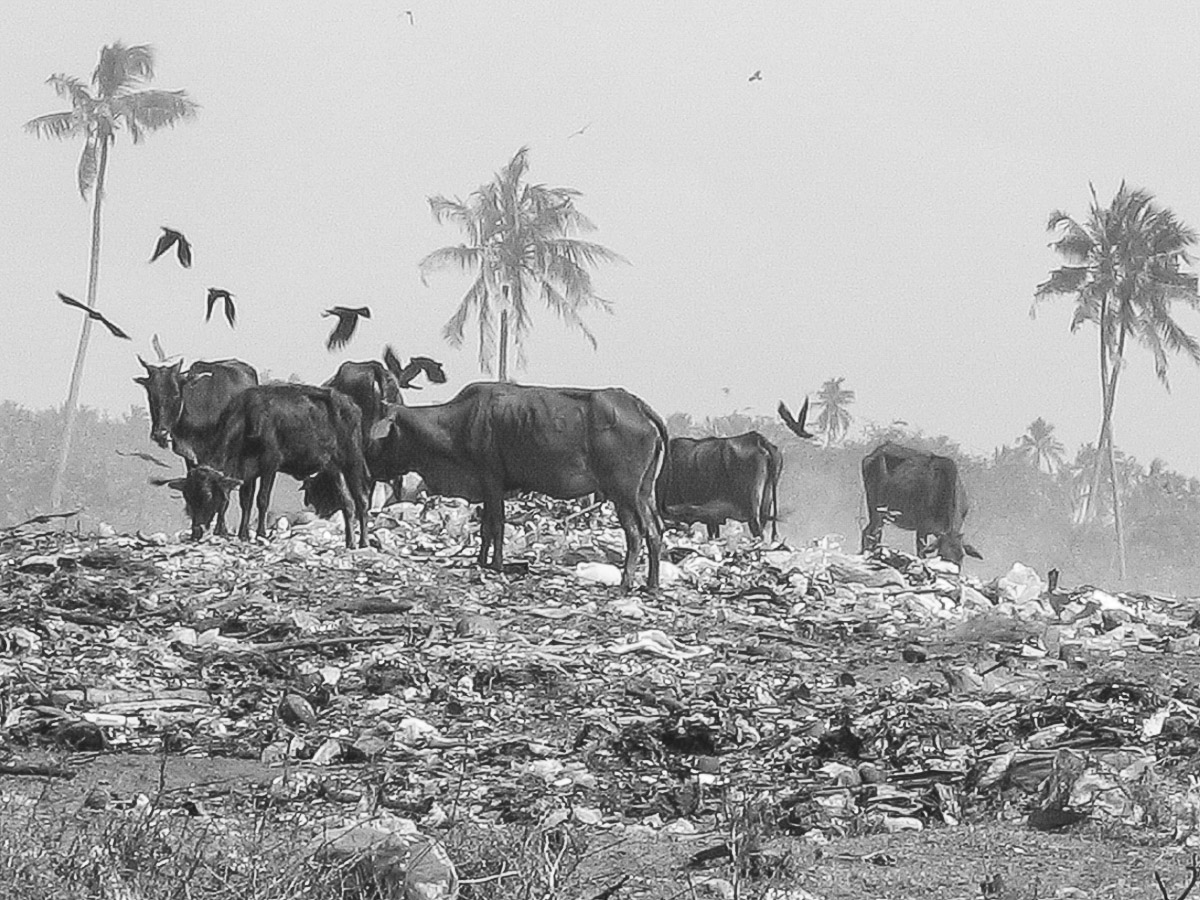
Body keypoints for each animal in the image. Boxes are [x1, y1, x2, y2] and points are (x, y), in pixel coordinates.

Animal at [135, 355, 258, 535]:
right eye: (151, 395)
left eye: (176, 394)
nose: (160, 433)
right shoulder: (189, 455)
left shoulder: (230, 459)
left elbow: (226, 493)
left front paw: (220, 529)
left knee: (246, 497)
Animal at [157, 381, 369, 549]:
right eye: (188, 497)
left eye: (208, 495)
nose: (196, 531)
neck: (246, 419)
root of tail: (351, 404)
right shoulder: (246, 471)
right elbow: (246, 501)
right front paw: (243, 534)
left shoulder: (270, 463)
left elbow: (262, 499)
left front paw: (260, 534)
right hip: (333, 468)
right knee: (347, 503)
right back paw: (350, 542)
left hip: (353, 461)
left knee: (361, 501)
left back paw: (363, 542)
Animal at [362, 381, 667, 592]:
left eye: (379, 435)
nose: (367, 467)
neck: (457, 423)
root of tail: (637, 405)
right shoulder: (487, 486)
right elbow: (486, 527)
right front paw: (481, 561)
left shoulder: (491, 479)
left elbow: (496, 525)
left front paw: (495, 564)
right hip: (644, 493)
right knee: (655, 530)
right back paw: (651, 584)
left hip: (623, 493)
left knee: (636, 533)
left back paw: (626, 582)